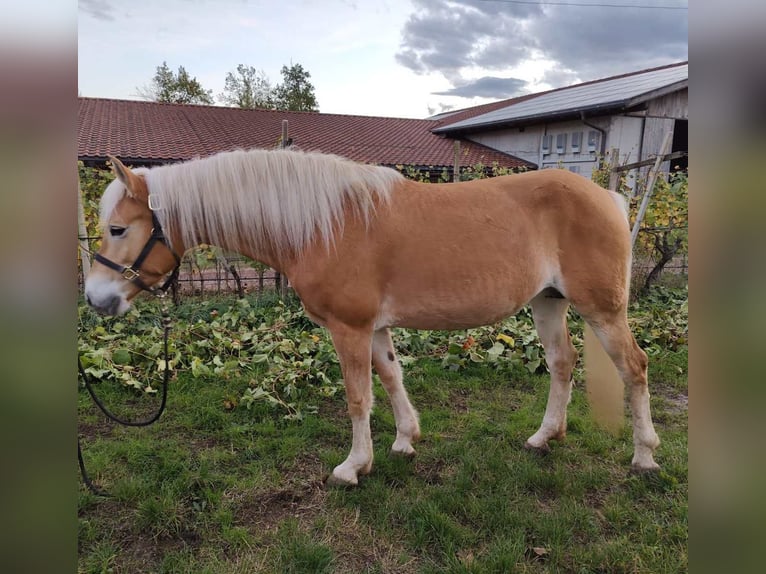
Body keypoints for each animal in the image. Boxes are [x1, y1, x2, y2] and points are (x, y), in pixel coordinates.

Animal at [82, 148, 660, 486]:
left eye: (117, 229)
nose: (96, 299)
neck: (323, 223)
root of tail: (608, 196)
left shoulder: (349, 329)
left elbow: (358, 397)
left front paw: (353, 466)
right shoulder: (375, 328)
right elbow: (391, 376)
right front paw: (406, 440)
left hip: (604, 310)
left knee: (634, 367)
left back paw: (645, 456)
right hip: (547, 302)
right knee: (562, 364)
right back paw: (545, 437)